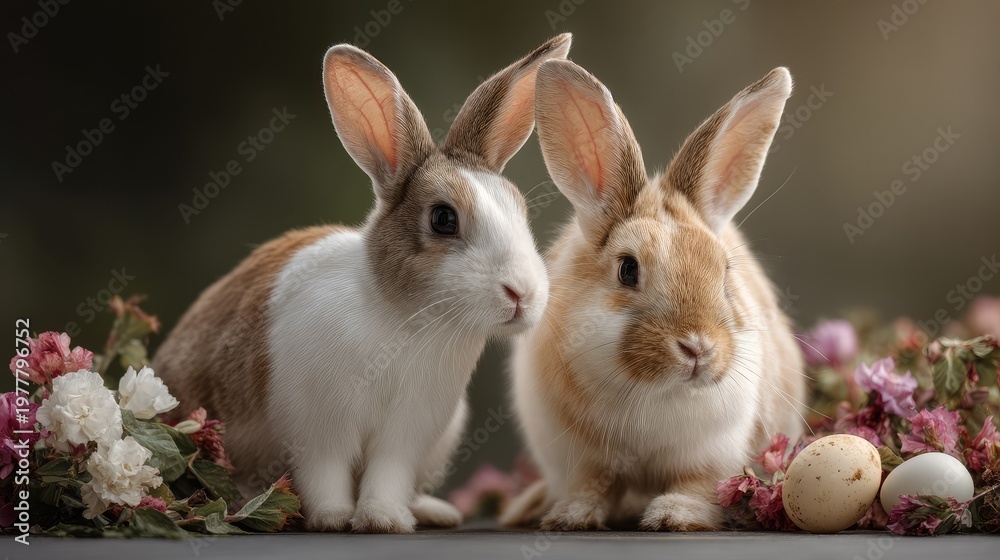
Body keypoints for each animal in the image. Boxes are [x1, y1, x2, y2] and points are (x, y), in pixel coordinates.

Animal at [153, 34, 571, 533]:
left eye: (520, 210)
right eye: (443, 219)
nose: (522, 293)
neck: (400, 316)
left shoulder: (407, 433)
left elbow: (387, 475)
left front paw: (382, 519)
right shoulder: (318, 427)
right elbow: (325, 473)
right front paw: (333, 518)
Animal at [501, 60, 806, 532]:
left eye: (725, 272)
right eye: (628, 269)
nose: (697, 347)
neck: (652, 390)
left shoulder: (712, 454)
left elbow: (695, 486)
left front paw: (673, 516)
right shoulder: (580, 459)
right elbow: (592, 486)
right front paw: (571, 517)